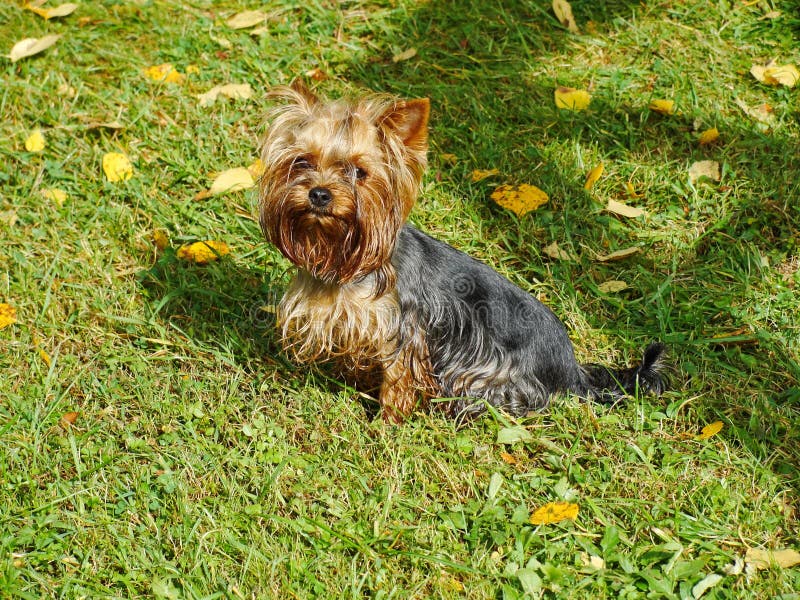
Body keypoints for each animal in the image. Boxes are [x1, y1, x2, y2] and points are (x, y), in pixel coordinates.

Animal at [260, 82, 664, 424]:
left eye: (360, 172)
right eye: (302, 162)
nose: (319, 194)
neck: (343, 258)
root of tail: (572, 371)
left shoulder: (406, 331)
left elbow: (398, 379)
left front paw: (387, 422)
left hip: (488, 378)